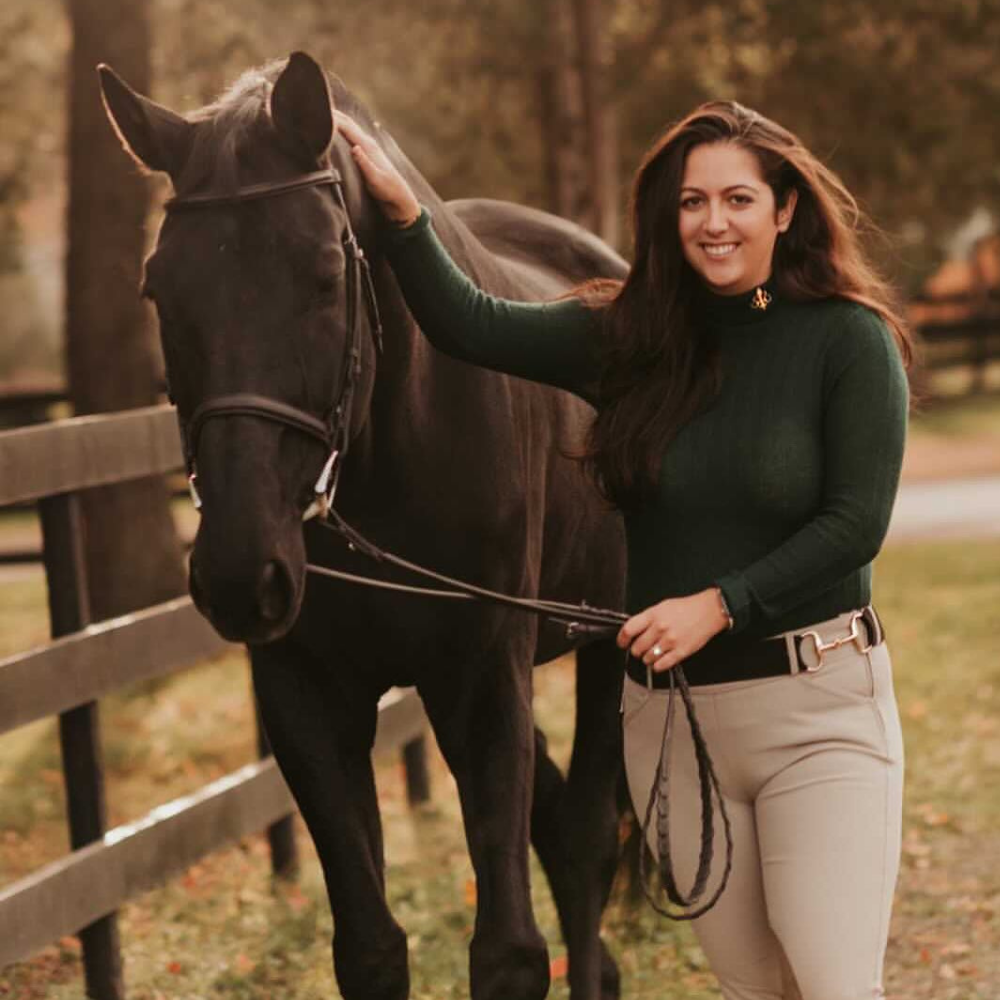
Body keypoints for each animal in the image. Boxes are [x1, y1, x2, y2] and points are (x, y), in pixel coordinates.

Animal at [101, 52, 628, 1000]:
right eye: (159, 287)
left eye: (322, 274)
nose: (240, 571)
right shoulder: (308, 698)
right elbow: (371, 946)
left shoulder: (485, 681)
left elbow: (508, 951)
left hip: (610, 641)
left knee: (586, 838)